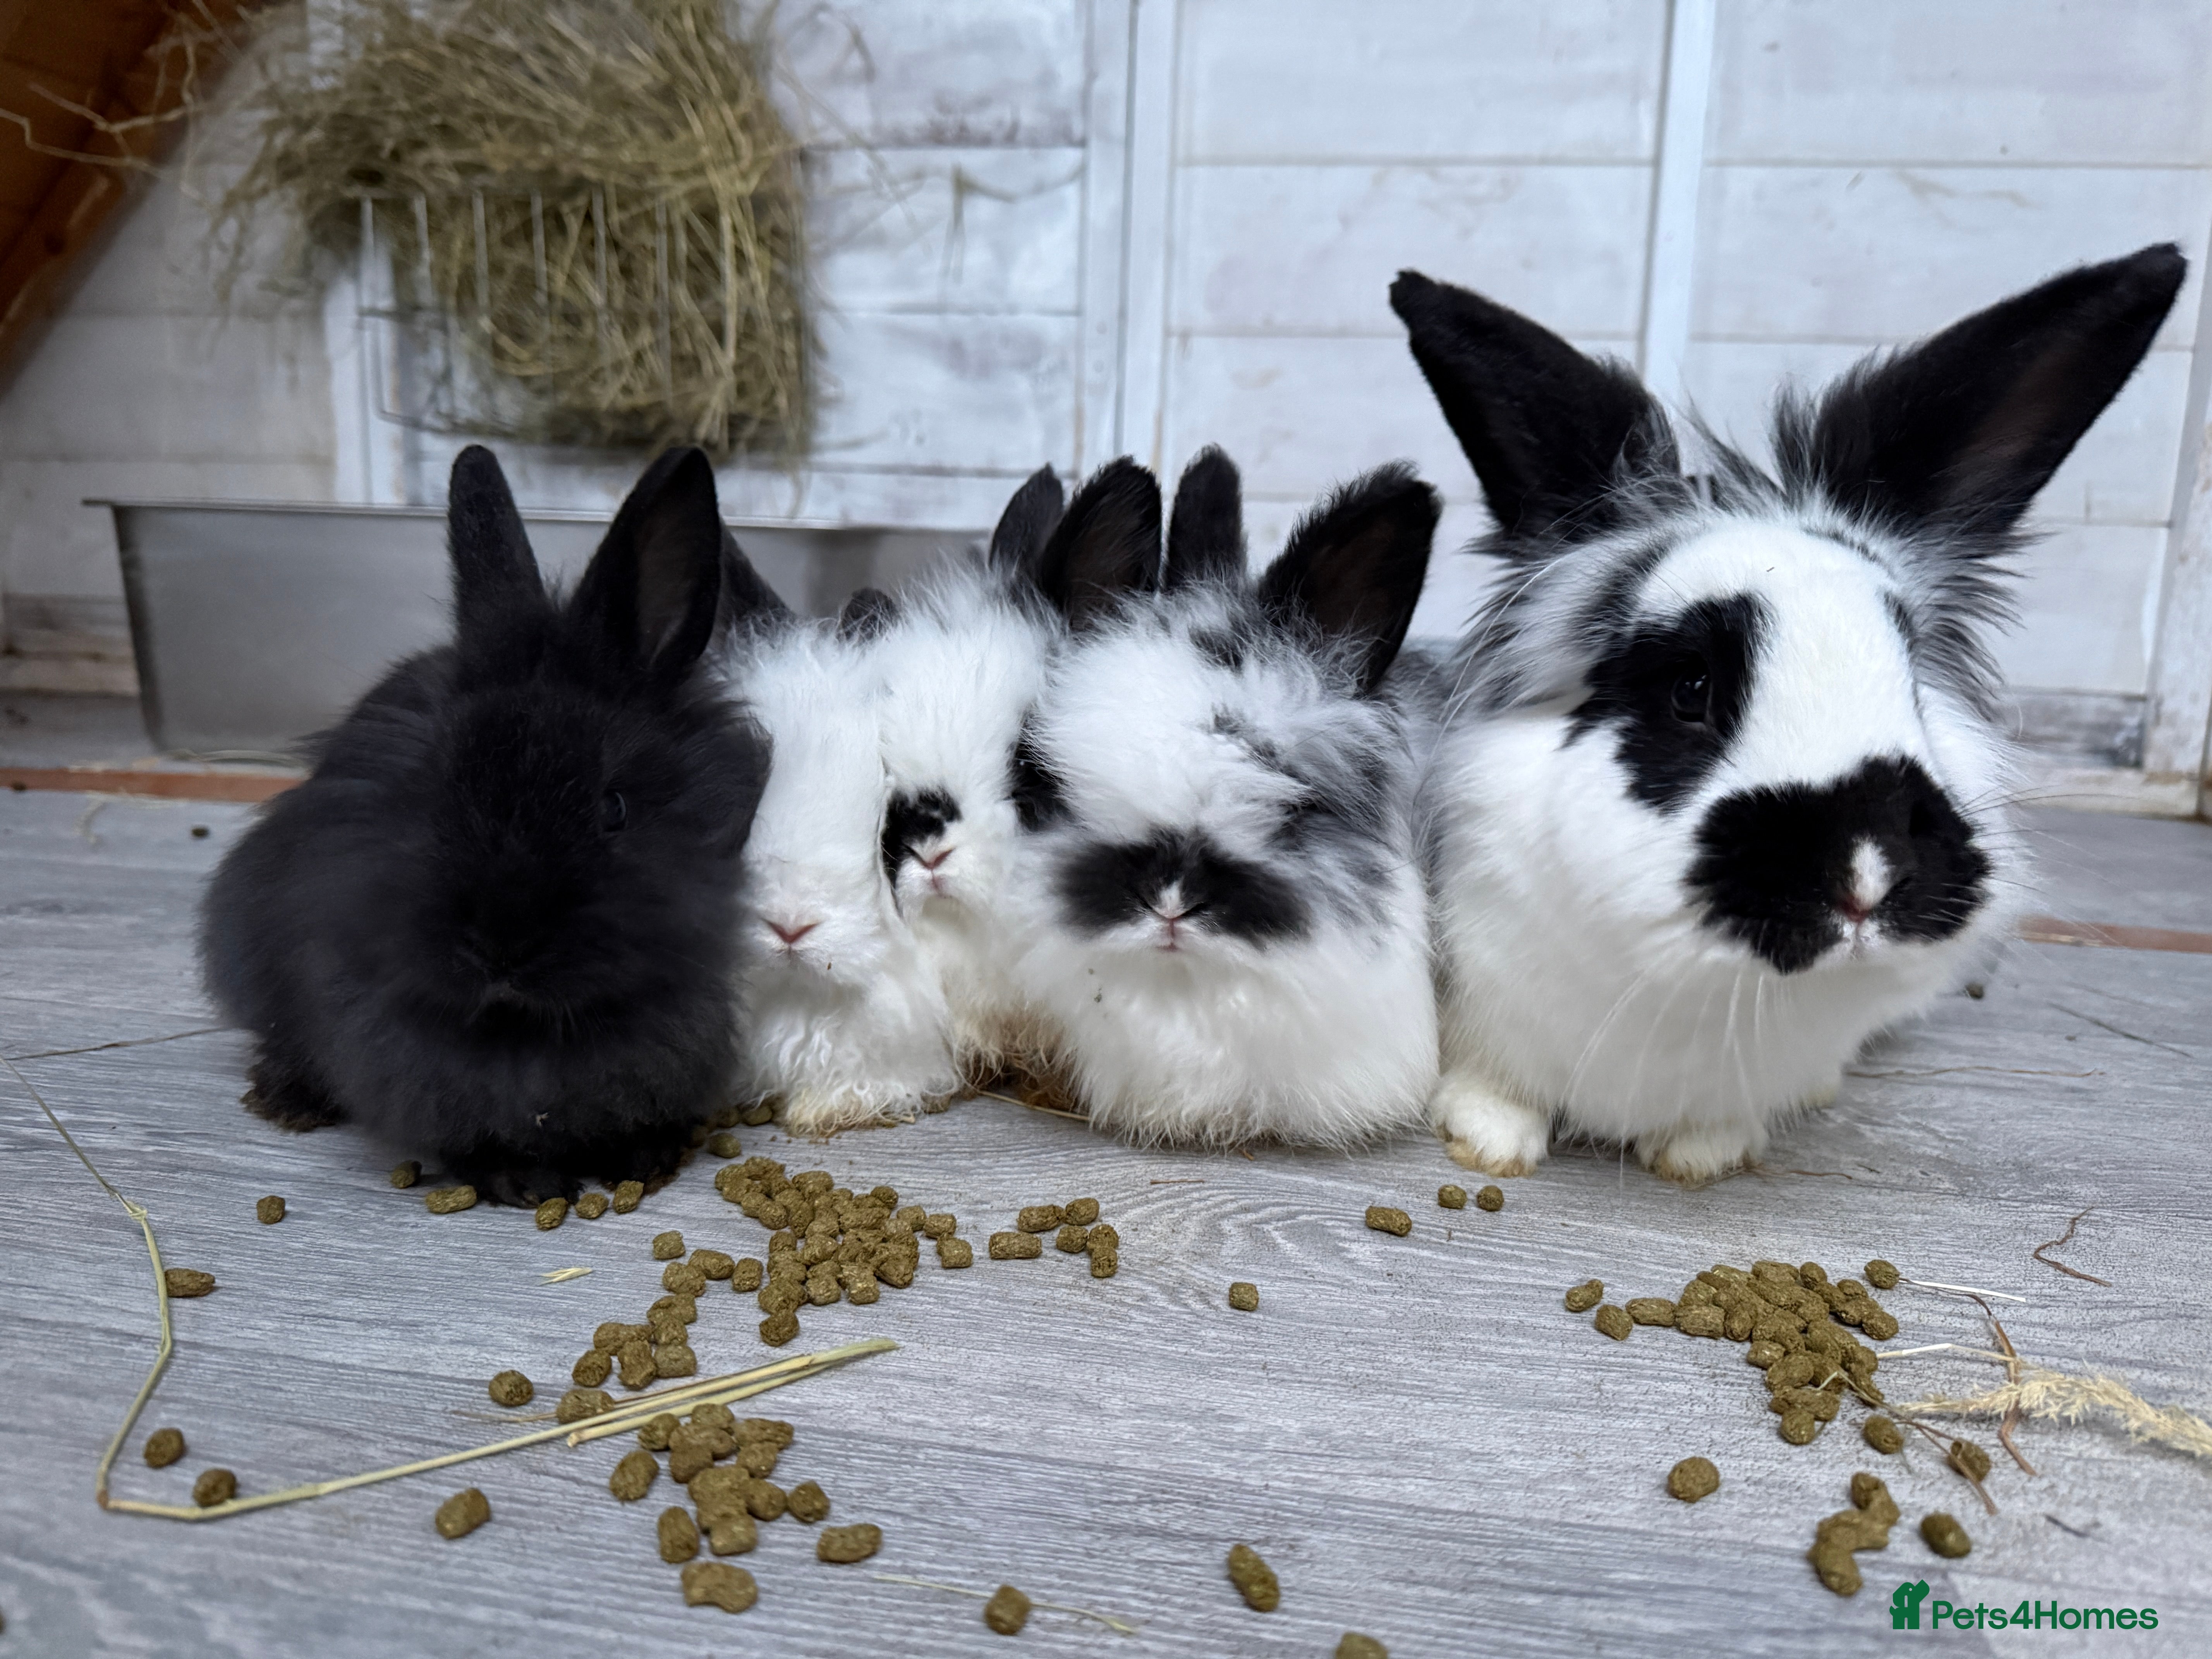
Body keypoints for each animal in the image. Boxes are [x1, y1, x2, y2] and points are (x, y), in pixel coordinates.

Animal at [200, 445, 767, 1204]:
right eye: (439, 789)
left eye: (613, 808)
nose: (501, 947)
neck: (531, 1028)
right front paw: (517, 1177)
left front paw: (642, 1156)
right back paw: (287, 1100)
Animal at [1388, 242, 2185, 1184]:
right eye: (1690, 688)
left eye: (1910, 672)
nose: (1865, 876)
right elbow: (1498, 1086)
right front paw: (1487, 1141)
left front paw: (1703, 1154)